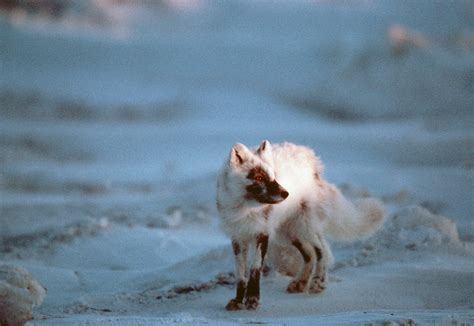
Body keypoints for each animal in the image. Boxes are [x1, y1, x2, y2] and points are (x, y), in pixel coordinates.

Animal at [217, 141, 384, 310]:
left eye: (274, 177)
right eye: (258, 177)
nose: (286, 194)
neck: (245, 209)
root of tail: (312, 158)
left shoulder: (262, 234)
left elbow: (255, 269)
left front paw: (252, 299)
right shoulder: (238, 238)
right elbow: (240, 274)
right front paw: (238, 301)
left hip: (305, 227)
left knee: (321, 250)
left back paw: (318, 282)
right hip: (289, 234)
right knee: (310, 255)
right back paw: (301, 283)